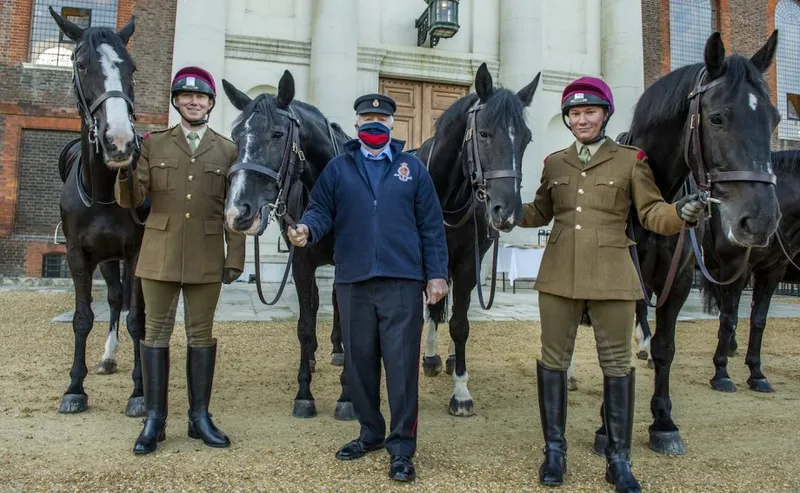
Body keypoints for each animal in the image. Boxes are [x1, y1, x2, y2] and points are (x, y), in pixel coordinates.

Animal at [220, 70, 354, 418]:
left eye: (278, 134)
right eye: (236, 135)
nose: (237, 212)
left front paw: (348, 396)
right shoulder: (302, 263)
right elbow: (305, 325)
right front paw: (304, 394)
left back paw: (338, 351)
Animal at [416, 62, 540, 416]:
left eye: (526, 139)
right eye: (483, 133)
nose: (507, 211)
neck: (446, 195)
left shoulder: (468, 264)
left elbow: (460, 323)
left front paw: (460, 391)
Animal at [588, 30, 780, 456]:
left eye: (774, 119)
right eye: (717, 117)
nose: (761, 219)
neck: (652, 198)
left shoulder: (676, 283)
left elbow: (666, 348)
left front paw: (663, 422)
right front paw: (607, 427)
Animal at [704, 150, 796, 392]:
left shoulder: (772, 270)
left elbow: (758, 320)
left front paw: (756, 373)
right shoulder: (737, 267)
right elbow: (729, 318)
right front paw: (721, 373)